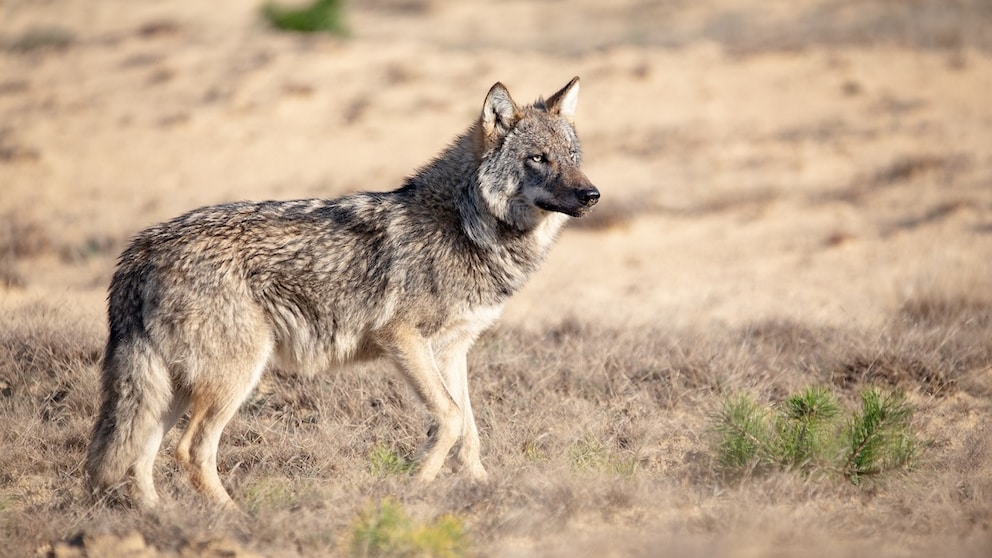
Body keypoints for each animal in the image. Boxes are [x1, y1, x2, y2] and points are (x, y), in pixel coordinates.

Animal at [87, 76, 596, 510]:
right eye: (538, 158)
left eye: (573, 156)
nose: (592, 195)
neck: (465, 225)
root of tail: (140, 249)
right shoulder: (402, 339)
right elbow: (450, 420)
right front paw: (415, 485)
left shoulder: (453, 350)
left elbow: (469, 431)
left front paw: (483, 490)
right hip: (234, 378)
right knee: (190, 451)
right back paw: (234, 518)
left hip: (174, 388)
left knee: (138, 457)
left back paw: (158, 518)